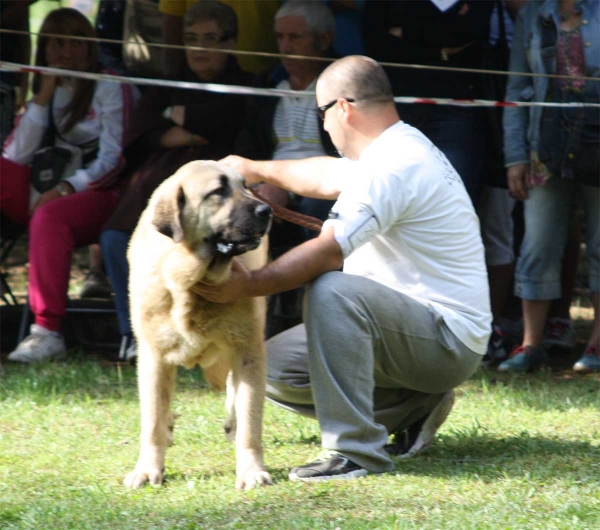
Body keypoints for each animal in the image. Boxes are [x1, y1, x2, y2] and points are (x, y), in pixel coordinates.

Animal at [124, 159, 274, 488]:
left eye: (246, 186)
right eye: (218, 191)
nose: (267, 210)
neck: (190, 280)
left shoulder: (248, 351)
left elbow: (250, 420)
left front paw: (251, 471)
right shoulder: (153, 356)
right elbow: (151, 420)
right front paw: (148, 469)